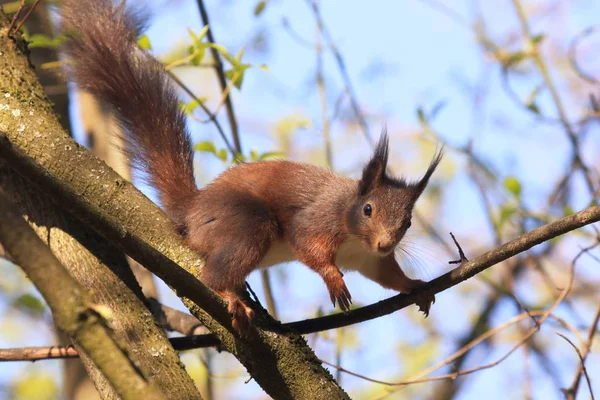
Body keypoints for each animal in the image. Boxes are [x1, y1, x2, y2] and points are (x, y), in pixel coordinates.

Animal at [61, 0, 442, 332]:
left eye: (408, 222)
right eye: (367, 209)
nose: (386, 244)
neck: (354, 235)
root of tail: (192, 211)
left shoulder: (368, 259)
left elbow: (387, 276)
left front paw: (414, 285)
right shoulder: (319, 219)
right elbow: (307, 243)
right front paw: (333, 279)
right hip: (245, 222)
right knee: (215, 271)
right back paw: (227, 294)